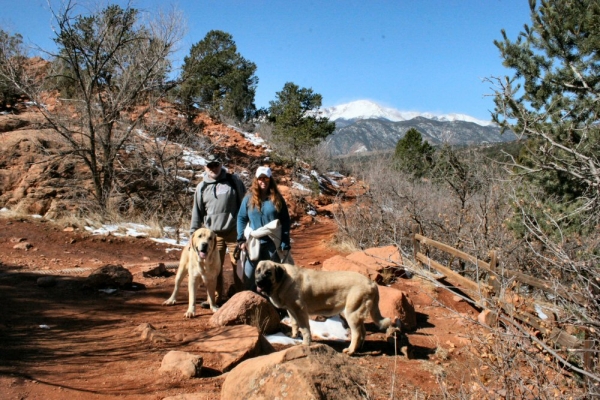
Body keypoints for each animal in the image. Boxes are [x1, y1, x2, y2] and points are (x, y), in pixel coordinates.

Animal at [255, 260, 396, 354]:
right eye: (257, 271)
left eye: (268, 273)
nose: (258, 281)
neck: (283, 279)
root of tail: (372, 283)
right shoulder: (291, 310)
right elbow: (295, 324)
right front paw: (294, 336)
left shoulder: (300, 311)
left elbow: (305, 330)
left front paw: (305, 344)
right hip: (356, 314)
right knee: (363, 331)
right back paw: (359, 348)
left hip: (351, 314)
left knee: (356, 334)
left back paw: (350, 350)